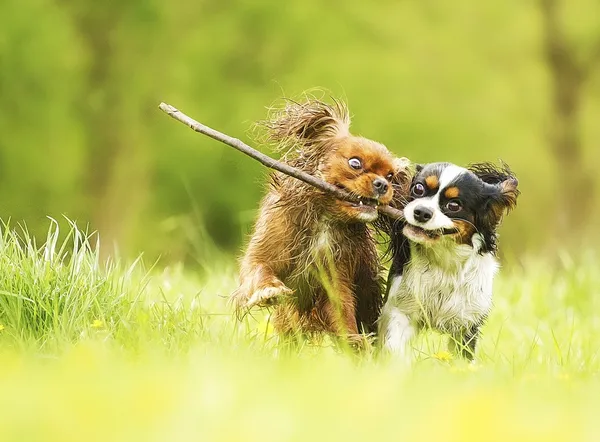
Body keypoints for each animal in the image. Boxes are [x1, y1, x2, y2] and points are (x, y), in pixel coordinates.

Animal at [232, 98, 410, 342]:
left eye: (391, 176)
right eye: (355, 163)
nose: (383, 184)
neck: (324, 217)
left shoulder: (335, 282)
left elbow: (342, 311)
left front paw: (353, 340)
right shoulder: (263, 252)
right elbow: (259, 269)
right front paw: (268, 291)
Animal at [382, 162, 516, 360]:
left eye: (454, 205)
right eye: (418, 188)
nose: (422, 212)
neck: (444, 262)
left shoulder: (466, 324)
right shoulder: (401, 309)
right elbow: (394, 347)